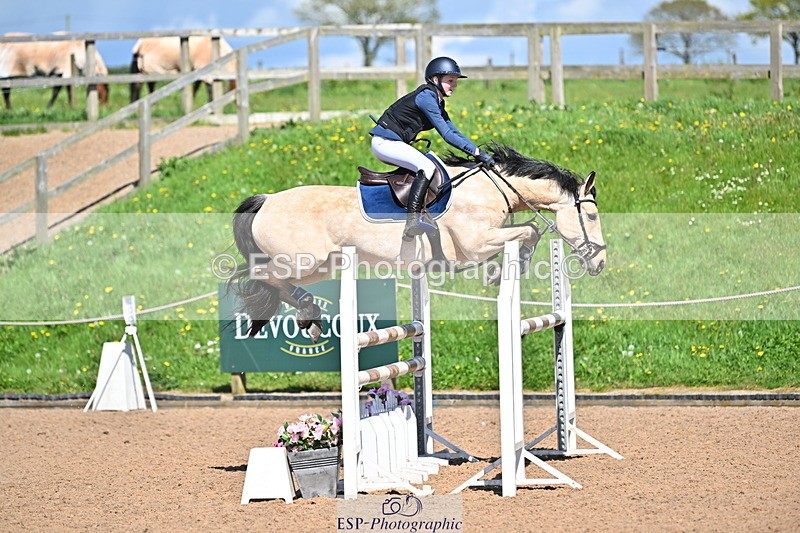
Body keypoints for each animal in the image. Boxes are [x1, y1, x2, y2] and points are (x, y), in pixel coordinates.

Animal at [229, 143, 606, 342]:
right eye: (591, 217)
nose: (600, 263)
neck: (491, 189)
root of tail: (267, 200)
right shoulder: (475, 245)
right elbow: (528, 231)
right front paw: (500, 273)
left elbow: (530, 230)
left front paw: (507, 268)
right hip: (302, 259)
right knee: (261, 276)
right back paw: (309, 310)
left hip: (321, 265)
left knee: (275, 282)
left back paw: (309, 314)